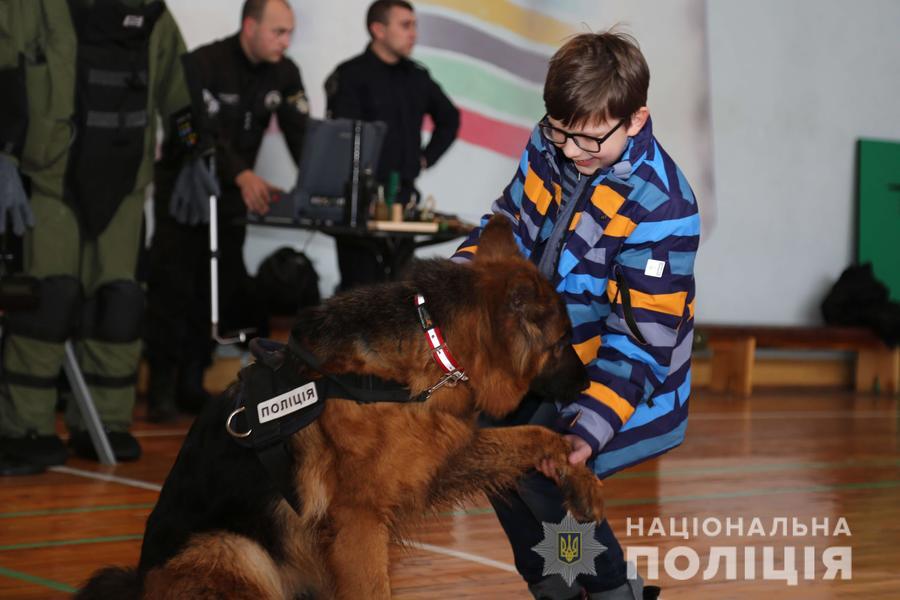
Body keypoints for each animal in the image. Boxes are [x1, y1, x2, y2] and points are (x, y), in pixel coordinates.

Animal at [79, 217, 604, 600]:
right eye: (562, 343)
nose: (587, 382)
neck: (430, 345)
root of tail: (139, 585)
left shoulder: (438, 457)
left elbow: (536, 436)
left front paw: (581, 477)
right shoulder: (359, 521)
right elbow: (371, 590)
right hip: (236, 550)